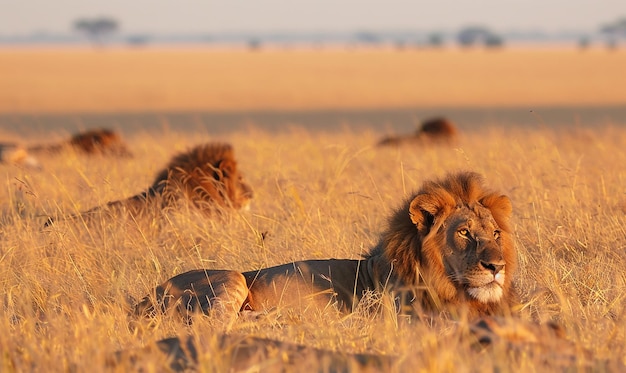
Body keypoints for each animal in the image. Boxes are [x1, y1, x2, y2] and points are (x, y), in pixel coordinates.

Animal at [134, 170, 516, 322]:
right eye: (464, 233)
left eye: (496, 234)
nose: (497, 267)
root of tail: (144, 298)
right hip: (231, 277)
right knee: (215, 323)